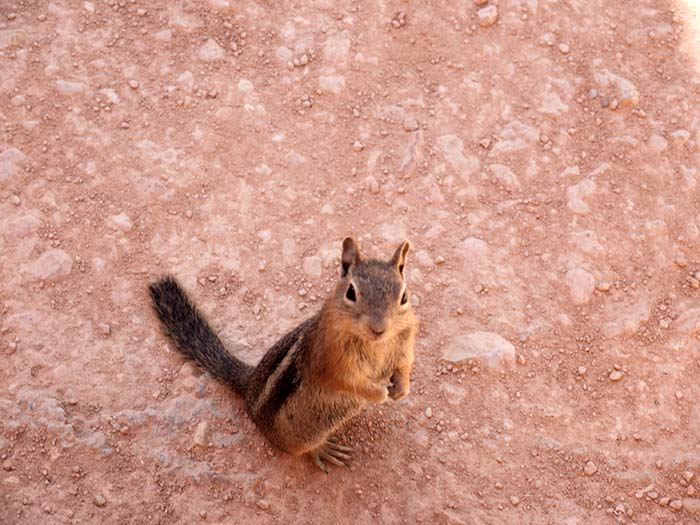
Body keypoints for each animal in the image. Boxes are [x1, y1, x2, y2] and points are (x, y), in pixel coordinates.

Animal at [148, 237, 418, 472]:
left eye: (404, 296)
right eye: (351, 293)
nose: (378, 328)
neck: (376, 344)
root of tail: (249, 384)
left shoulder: (405, 342)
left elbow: (404, 364)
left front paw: (401, 388)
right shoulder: (329, 358)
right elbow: (347, 381)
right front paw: (378, 393)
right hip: (301, 435)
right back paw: (323, 449)